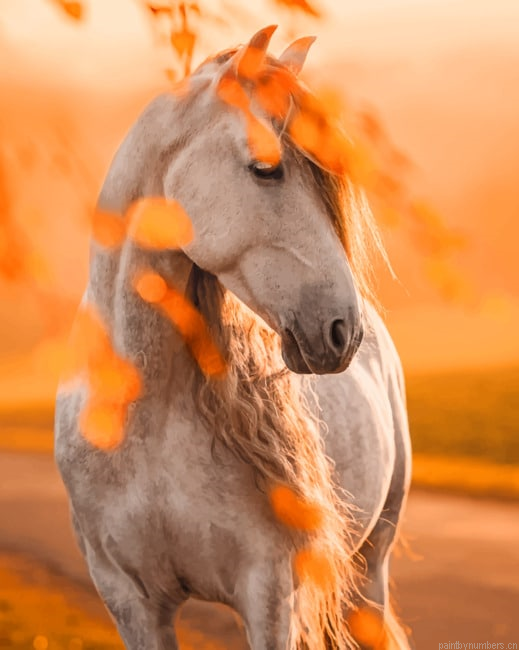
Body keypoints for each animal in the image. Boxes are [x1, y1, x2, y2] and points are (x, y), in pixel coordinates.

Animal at [54, 26, 412, 650]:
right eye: (266, 168)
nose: (343, 331)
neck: (143, 420)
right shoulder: (130, 601)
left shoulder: (267, 591)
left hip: (371, 568)